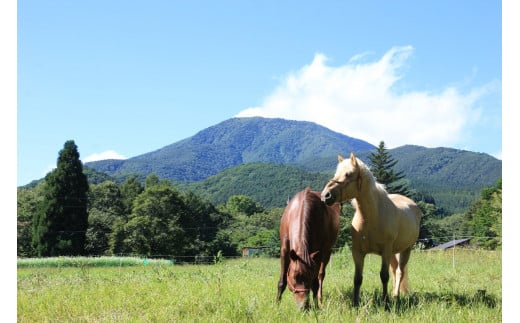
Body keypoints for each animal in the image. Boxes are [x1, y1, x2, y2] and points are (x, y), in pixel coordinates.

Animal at [320, 153, 422, 310]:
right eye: (336, 173)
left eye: (348, 174)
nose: (325, 195)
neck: (371, 217)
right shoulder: (358, 252)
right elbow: (357, 278)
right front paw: (355, 303)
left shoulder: (385, 251)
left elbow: (384, 276)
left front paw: (385, 303)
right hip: (393, 253)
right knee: (395, 271)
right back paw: (394, 294)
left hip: (406, 249)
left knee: (399, 272)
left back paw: (395, 296)